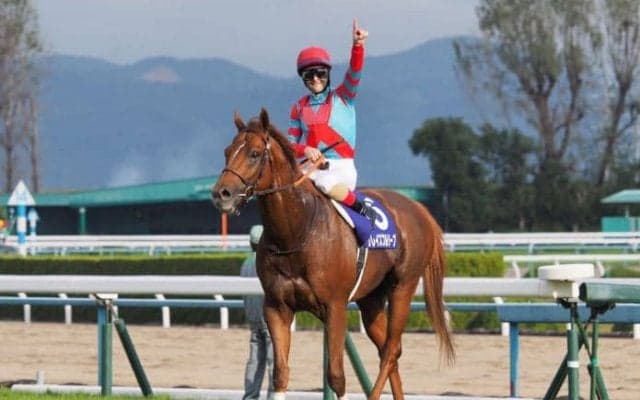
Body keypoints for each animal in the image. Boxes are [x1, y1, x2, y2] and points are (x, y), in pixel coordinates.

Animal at [211, 108, 455, 400]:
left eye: (255, 153)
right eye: (227, 151)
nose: (221, 194)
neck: (296, 231)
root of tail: (419, 209)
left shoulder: (335, 306)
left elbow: (336, 376)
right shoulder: (276, 307)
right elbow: (281, 374)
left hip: (402, 287)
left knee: (390, 351)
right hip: (371, 299)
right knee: (391, 350)